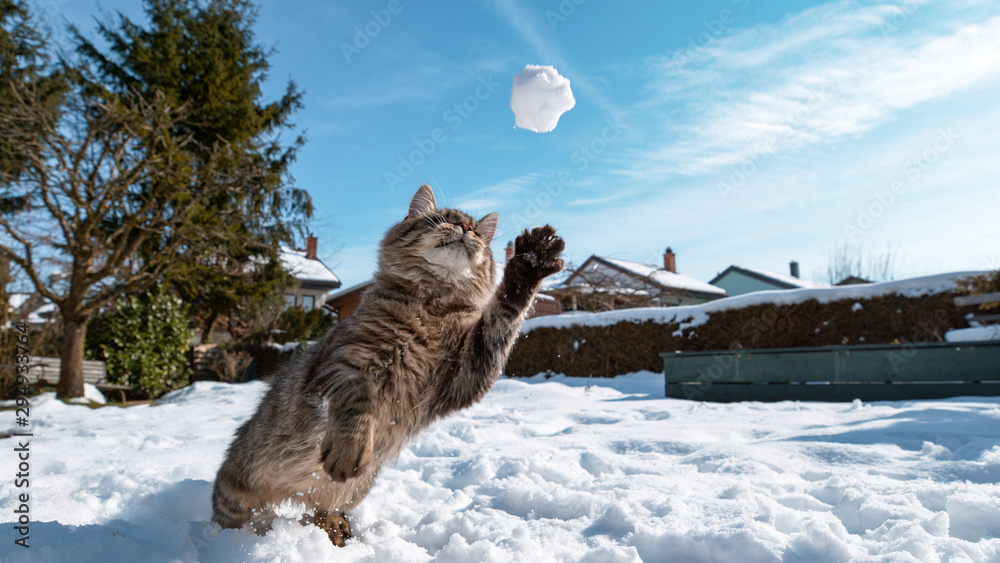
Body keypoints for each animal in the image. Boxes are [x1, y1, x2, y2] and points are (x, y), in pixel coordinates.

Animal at [212, 184, 568, 548]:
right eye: (443, 219)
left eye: (478, 233)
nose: (465, 229)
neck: (430, 309)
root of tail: (292, 493)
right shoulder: (348, 362)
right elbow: (359, 406)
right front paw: (349, 450)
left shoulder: (466, 372)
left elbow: (506, 312)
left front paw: (530, 262)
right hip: (238, 489)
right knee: (236, 516)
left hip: (355, 489)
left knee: (322, 510)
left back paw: (337, 532)